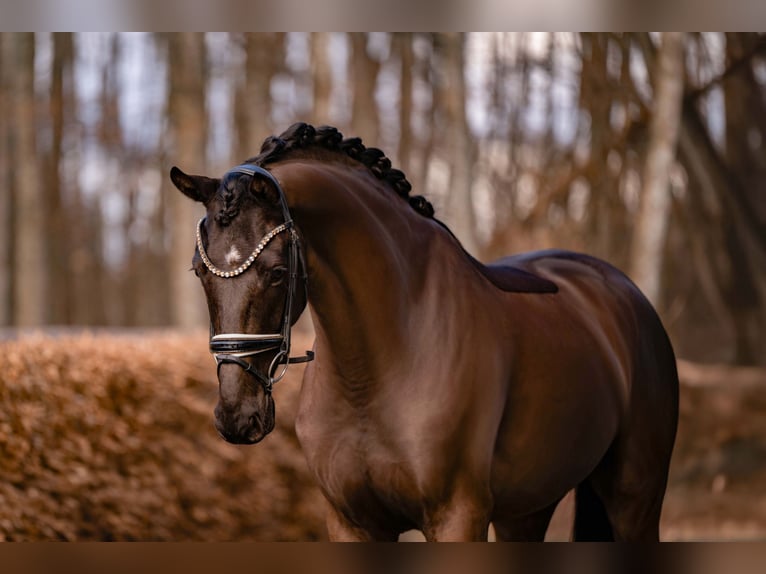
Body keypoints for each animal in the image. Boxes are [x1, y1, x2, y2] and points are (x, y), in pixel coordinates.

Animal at [170, 123, 679, 541]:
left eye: (277, 273)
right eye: (199, 271)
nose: (237, 417)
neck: (375, 369)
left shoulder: (458, 516)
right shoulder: (352, 523)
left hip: (635, 500)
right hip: (529, 509)